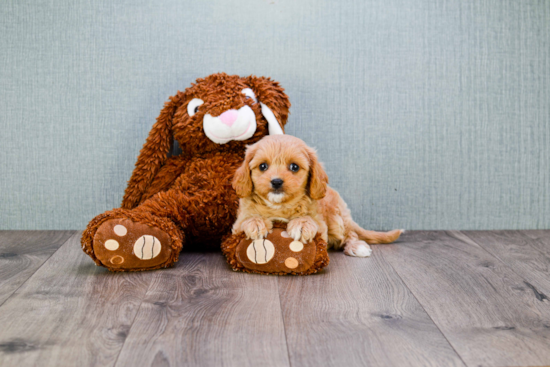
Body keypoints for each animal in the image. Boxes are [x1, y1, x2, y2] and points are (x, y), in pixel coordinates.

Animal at [231, 135, 404, 258]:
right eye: (263, 166)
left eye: (294, 167)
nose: (276, 181)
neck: (279, 205)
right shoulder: (237, 224)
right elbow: (248, 219)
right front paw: (256, 223)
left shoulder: (321, 225)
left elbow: (310, 220)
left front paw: (301, 224)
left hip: (336, 218)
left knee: (350, 234)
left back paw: (357, 246)